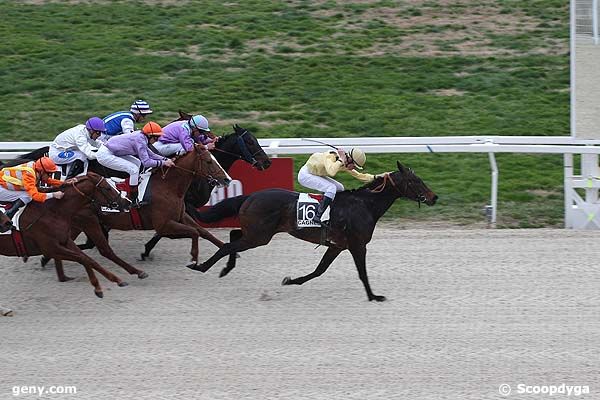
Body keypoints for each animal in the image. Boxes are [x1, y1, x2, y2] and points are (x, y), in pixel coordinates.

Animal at [0, 173, 130, 298]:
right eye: (107, 188)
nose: (126, 202)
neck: (53, 211)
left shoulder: (65, 240)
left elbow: (89, 260)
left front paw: (117, 280)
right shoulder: (50, 248)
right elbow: (83, 259)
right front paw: (97, 288)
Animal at [188, 161, 436, 302]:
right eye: (415, 181)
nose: (434, 197)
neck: (364, 205)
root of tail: (251, 196)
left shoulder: (337, 246)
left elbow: (319, 270)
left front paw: (291, 280)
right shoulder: (357, 245)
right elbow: (362, 272)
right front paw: (374, 296)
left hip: (257, 233)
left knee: (233, 236)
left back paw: (226, 267)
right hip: (259, 236)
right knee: (229, 244)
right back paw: (201, 266)